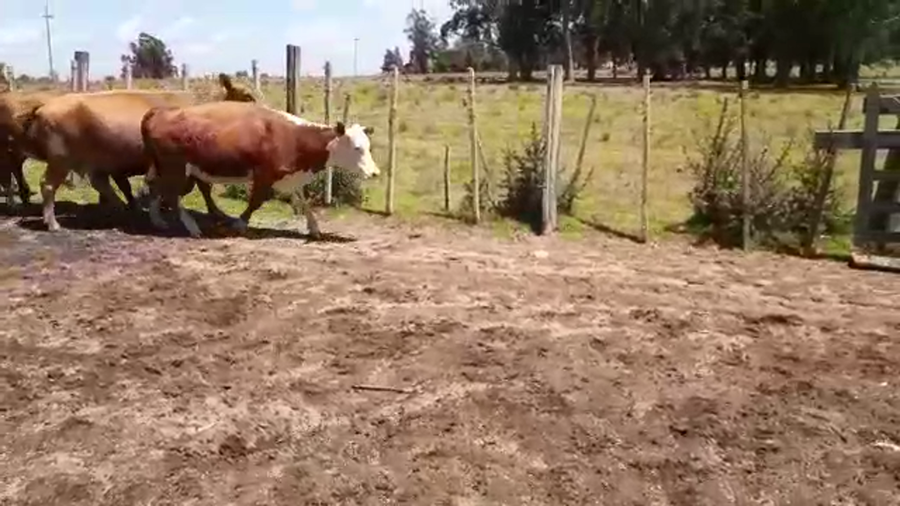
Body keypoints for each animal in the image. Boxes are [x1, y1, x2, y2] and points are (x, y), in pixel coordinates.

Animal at [140, 100, 380, 238]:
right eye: (357, 148)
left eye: (368, 146)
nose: (375, 173)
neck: (293, 137)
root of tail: (158, 111)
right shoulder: (264, 174)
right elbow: (256, 201)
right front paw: (239, 224)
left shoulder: (289, 175)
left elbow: (303, 200)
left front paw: (314, 228)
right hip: (175, 168)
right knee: (171, 196)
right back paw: (192, 228)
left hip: (164, 168)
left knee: (154, 187)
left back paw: (158, 221)